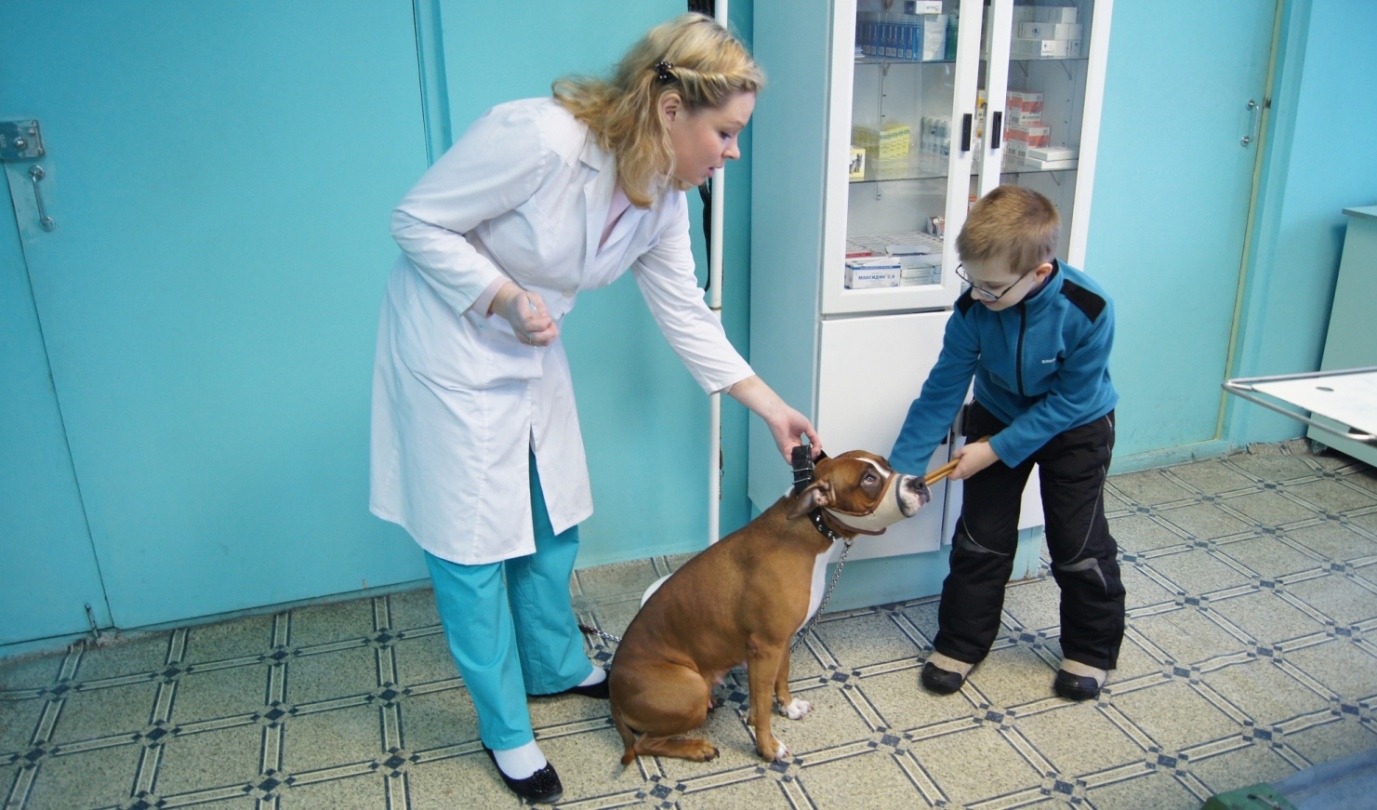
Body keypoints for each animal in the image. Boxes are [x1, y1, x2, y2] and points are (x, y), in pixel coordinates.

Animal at [608, 450, 930, 764]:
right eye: (869, 479)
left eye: (887, 464)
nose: (920, 482)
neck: (808, 527)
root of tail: (613, 691)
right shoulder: (764, 647)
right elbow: (761, 708)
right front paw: (767, 748)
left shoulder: (782, 640)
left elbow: (782, 676)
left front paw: (788, 706)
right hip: (690, 688)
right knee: (645, 743)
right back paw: (696, 748)